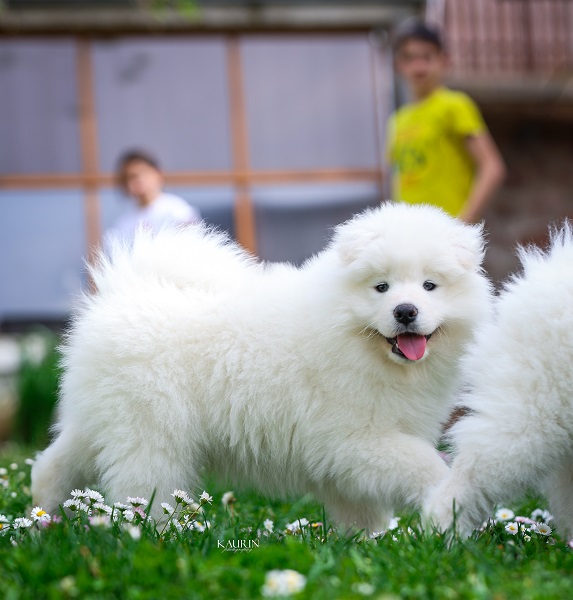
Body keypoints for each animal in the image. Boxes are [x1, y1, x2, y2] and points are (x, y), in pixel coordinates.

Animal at [31, 203, 490, 536]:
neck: (357, 343)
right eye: (381, 287)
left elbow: (362, 510)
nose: (405, 310)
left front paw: (370, 544)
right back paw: (155, 540)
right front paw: (447, 498)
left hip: (101, 420)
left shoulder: (345, 458)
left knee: (53, 465)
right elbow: (424, 464)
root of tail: (123, 292)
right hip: (150, 432)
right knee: (141, 493)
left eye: (430, 285)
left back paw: (38, 524)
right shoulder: (356, 439)